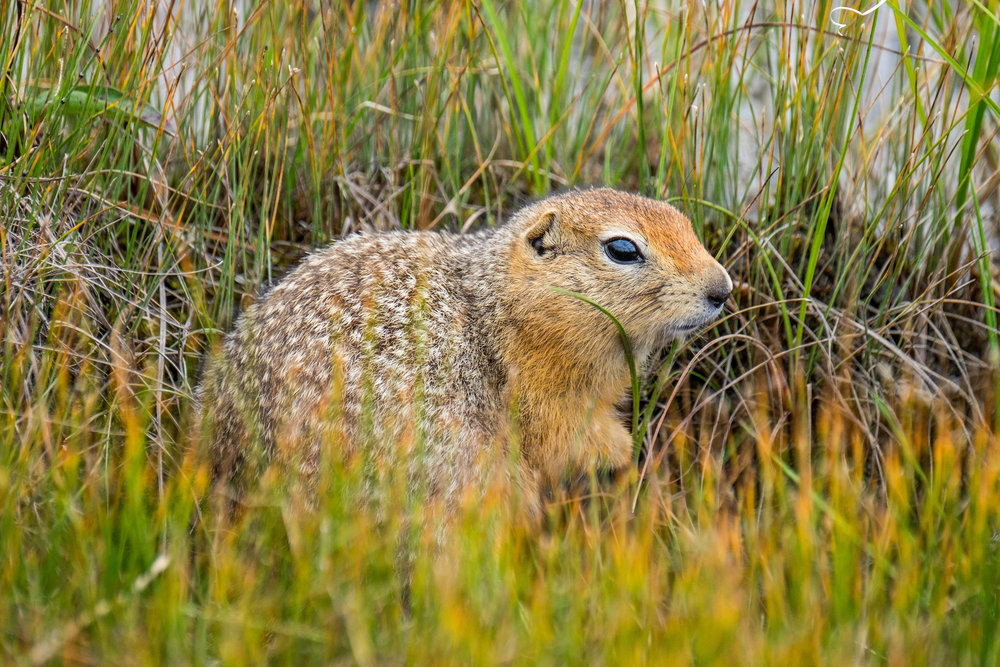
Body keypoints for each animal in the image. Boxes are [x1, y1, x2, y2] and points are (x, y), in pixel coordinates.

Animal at [195, 188, 732, 516]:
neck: (494, 304)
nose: (723, 289)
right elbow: (570, 440)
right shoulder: (545, 393)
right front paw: (626, 454)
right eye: (622, 249)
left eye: (685, 222)